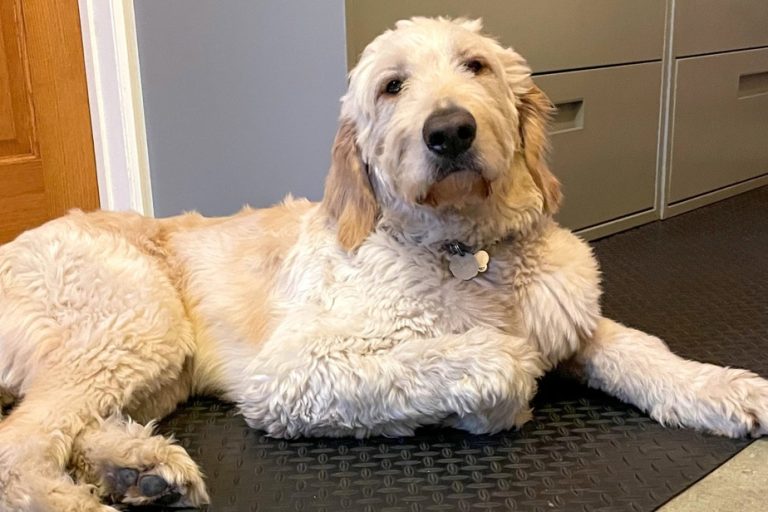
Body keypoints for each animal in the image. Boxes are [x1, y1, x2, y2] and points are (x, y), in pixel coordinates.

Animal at [1, 18, 768, 510]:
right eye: (392, 85)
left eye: (476, 65)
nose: (450, 131)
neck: (465, 252)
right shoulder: (292, 374)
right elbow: (479, 360)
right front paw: (488, 401)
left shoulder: (569, 317)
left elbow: (641, 351)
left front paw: (723, 388)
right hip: (134, 320)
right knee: (20, 449)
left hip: (155, 365)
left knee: (68, 429)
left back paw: (137, 469)